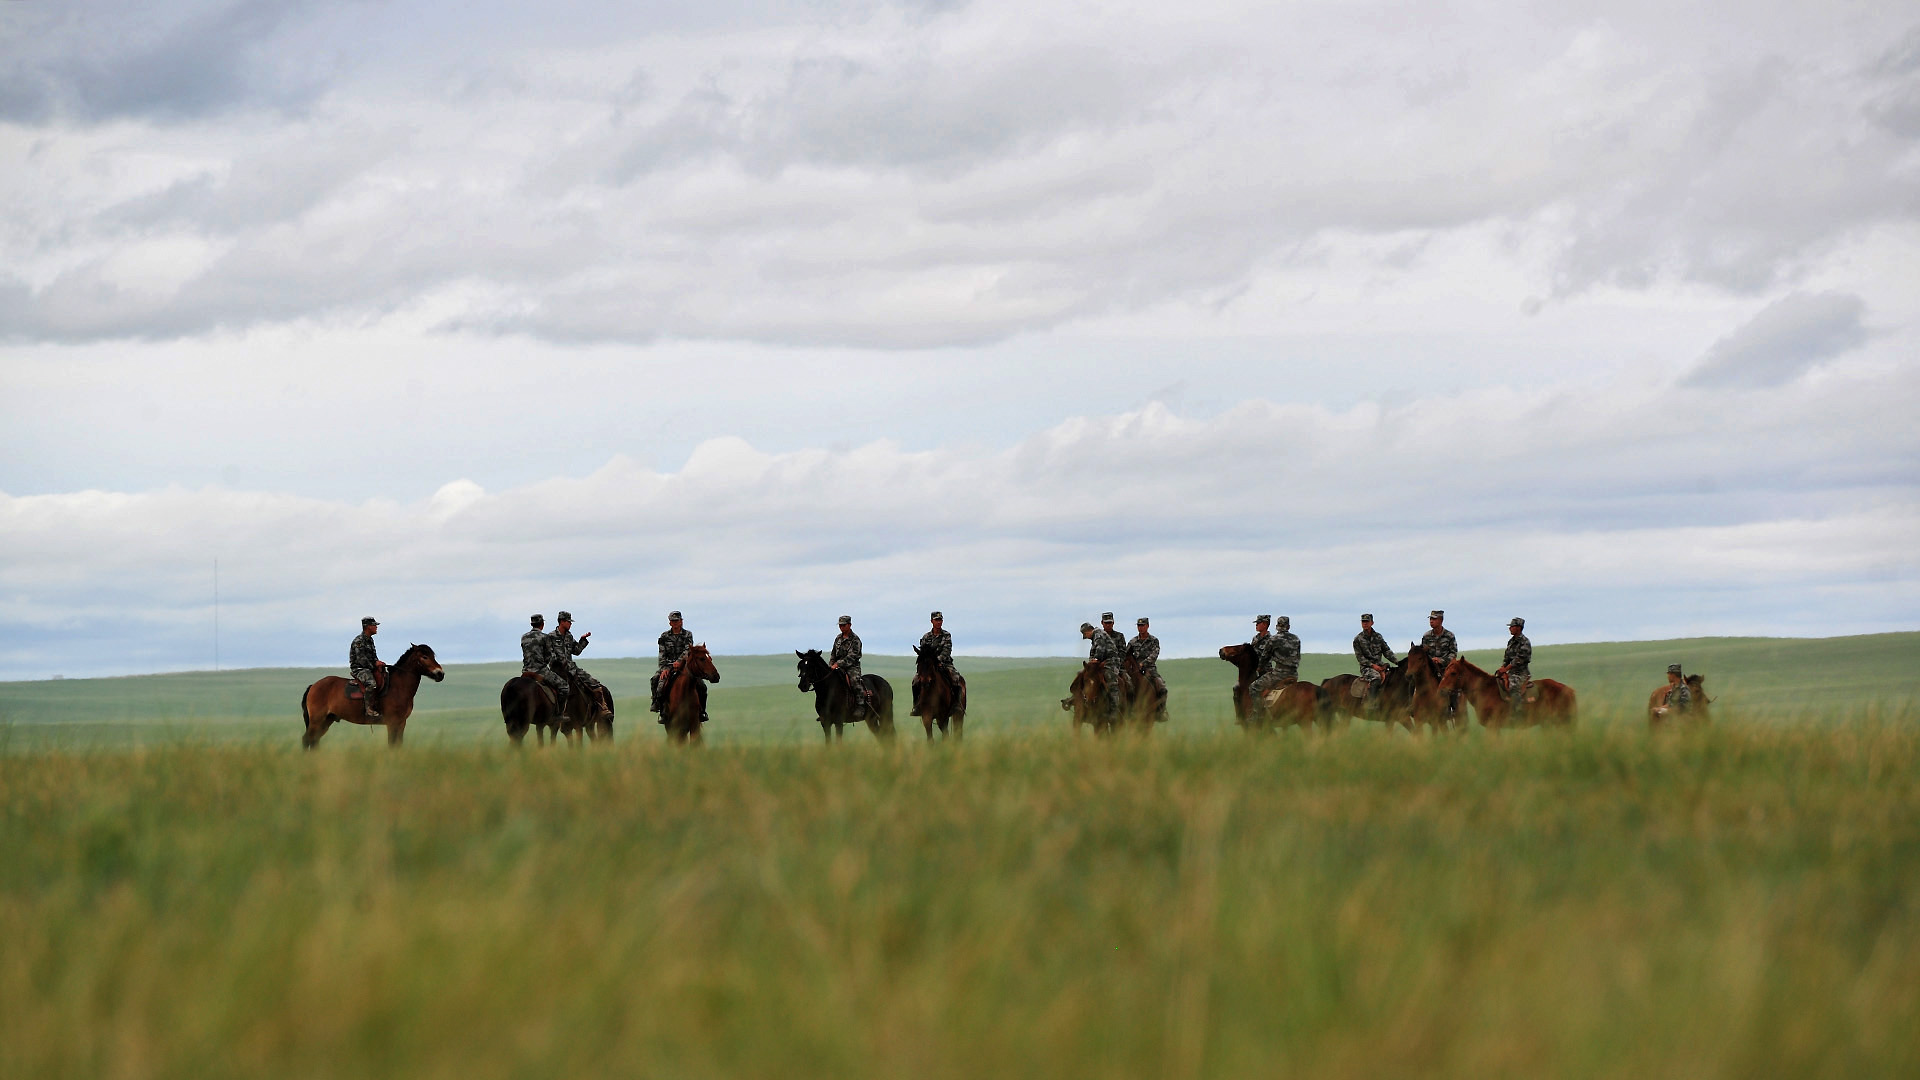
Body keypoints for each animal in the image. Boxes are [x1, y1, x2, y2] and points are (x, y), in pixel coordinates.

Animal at [299, 638, 445, 749]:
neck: (398, 687)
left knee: (314, 741)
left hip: (326, 720)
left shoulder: (401, 723)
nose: (440, 674)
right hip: (317, 720)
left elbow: (398, 745)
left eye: (433, 656)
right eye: (424, 657)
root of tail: (314, 686)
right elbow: (392, 745)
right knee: (307, 740)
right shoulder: (392, 723)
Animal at [1443, 653, 1574, 726]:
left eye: (1453, 673)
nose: (1442, 690)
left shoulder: (1493, 726)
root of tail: (1568, 690)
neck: (1484, 690)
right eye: (1445, 670)